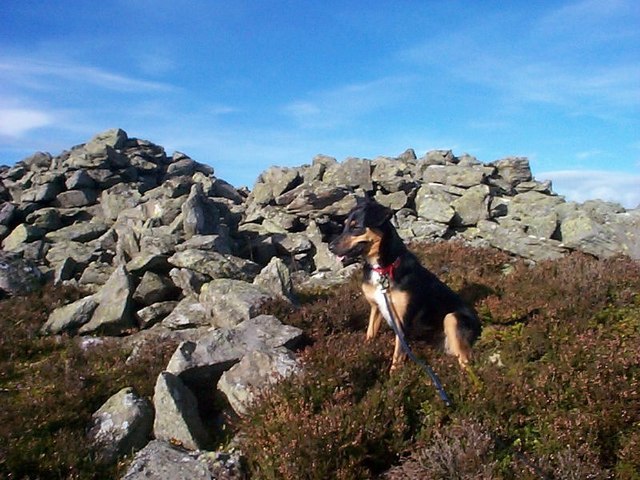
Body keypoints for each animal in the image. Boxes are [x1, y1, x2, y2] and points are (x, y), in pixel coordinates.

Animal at [330, 195, 480, 372]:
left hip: (452, 318)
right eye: (345, 225)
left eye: (356, 227)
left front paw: (394, 377)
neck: (383, 269)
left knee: (466, 360)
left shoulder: (403, 321)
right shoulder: (376, 307)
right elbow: (370, 333)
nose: (330, 247)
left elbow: (398, 356)